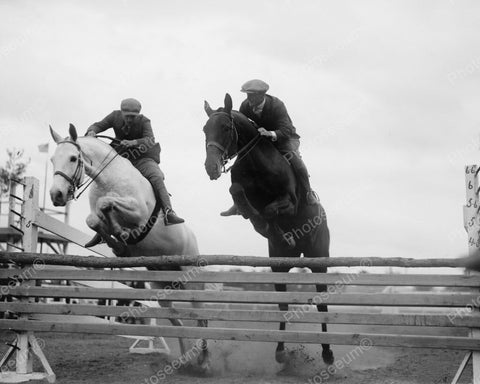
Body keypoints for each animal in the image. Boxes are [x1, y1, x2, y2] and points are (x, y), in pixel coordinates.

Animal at [49, 124, 211, 372]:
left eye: (73, 158)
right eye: (52, 159)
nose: (56, 195)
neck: (107, 179)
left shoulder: (137, 213)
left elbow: (106, 204)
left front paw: (124, 234)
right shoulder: (100, 214)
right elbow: (95, 219)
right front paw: (119, 243)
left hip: (192, 279)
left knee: (201, 316)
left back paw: (204, 361)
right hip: (162, 285)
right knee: (175, 318)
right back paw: (186, 359)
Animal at [202, 94, 334, 366]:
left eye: (226, 128)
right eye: (204, 129)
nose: (211, 168)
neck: (256, 164)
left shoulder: (289, 202)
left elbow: (270, 210)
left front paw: (273, 227)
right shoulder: (242, 191)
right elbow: (239, 195)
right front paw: (266, 226)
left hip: (319, 260)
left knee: (322, 304)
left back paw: (327, 353)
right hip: (279, 265)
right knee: (283, 305)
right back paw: (281, 351)